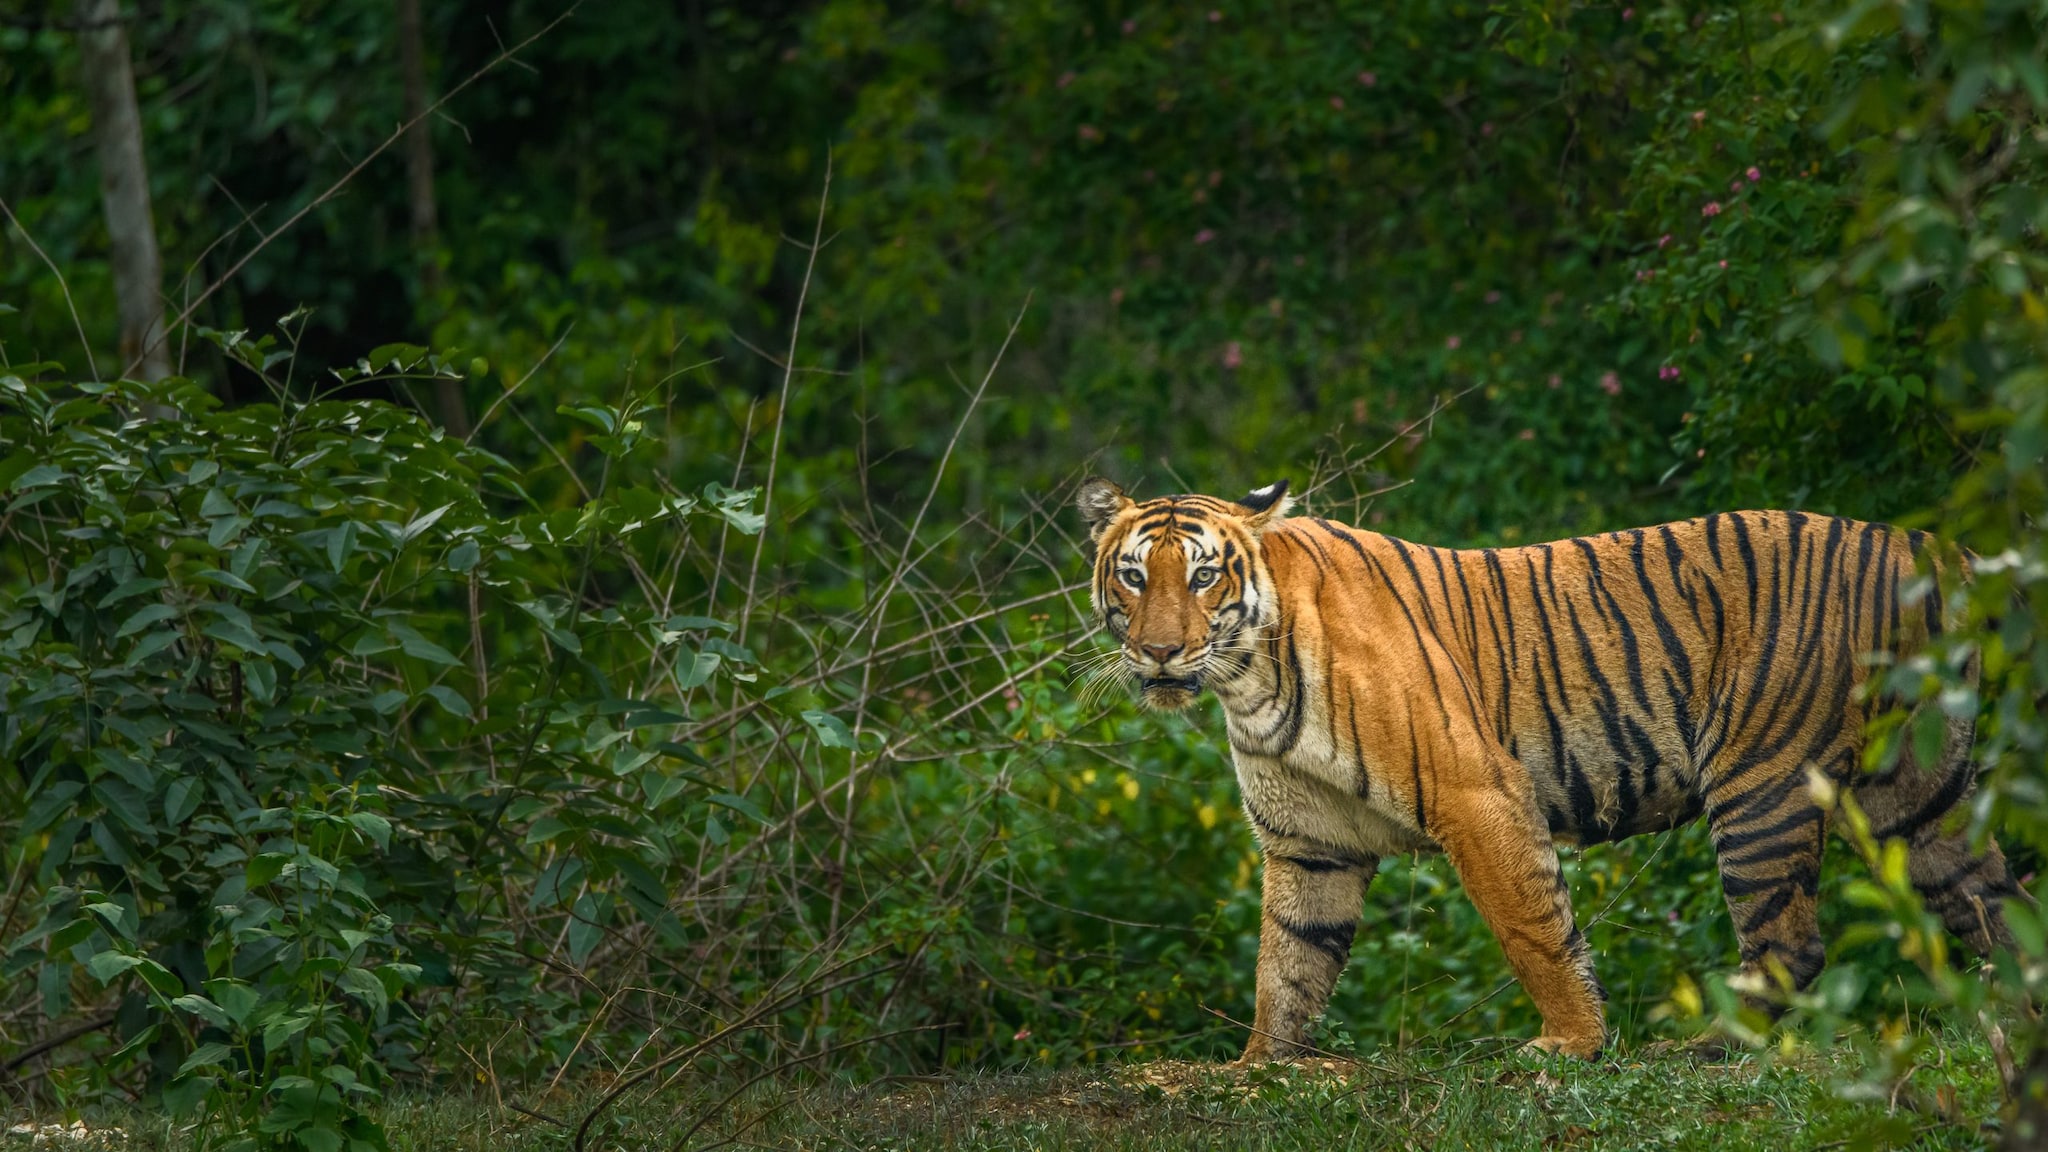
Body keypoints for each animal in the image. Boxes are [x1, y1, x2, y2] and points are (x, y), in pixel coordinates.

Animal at [1081, 475, 2023, 1057]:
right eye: (1132, 578)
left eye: (1203, 578)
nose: (1160, 653)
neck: (1248, 680)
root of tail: (1928, 548)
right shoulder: (1308, 843)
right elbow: (1288, 963)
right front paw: (1257, 1066)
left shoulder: (1478, 793)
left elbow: (1532, 929)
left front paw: (1573, 1043)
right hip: (1919, 794)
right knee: (1996, 900)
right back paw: (2021, 1009)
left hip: (1761, 782)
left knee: (1791, 944)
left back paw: (1705, 1050)